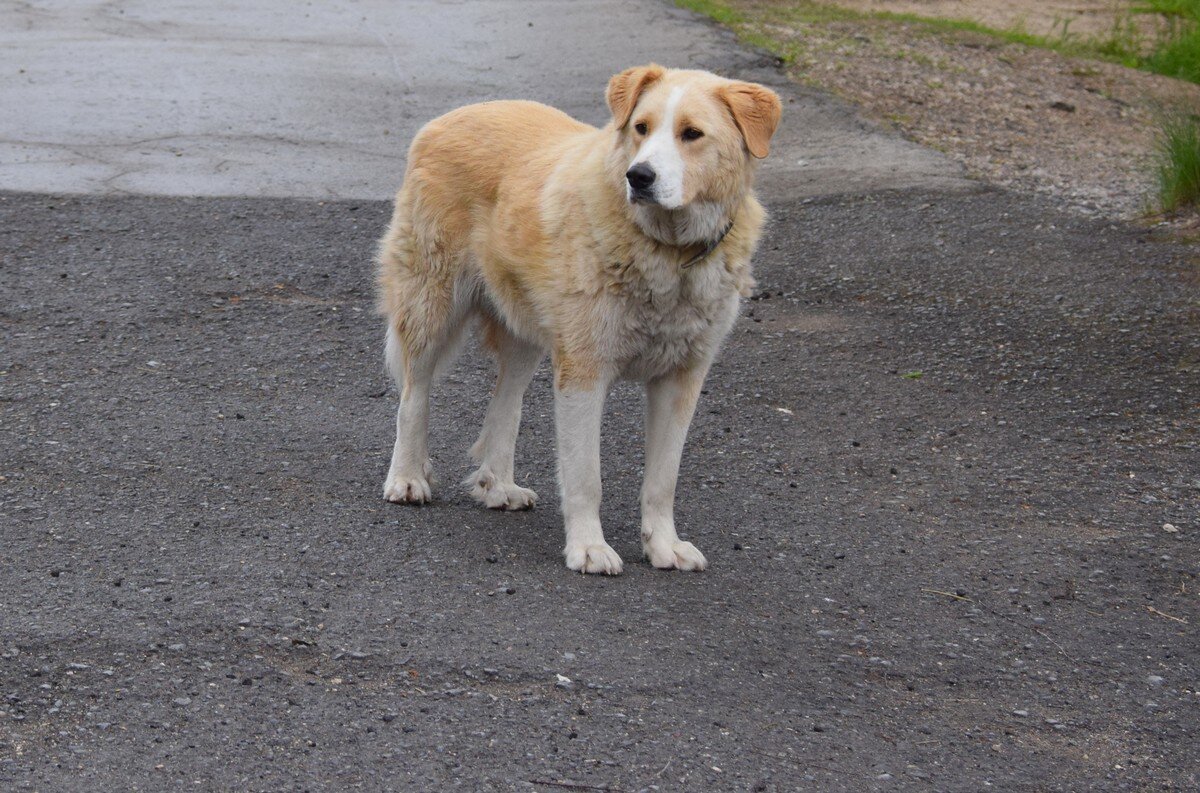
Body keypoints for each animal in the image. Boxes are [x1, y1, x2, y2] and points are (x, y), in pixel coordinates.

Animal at [376, 61, 787, 568]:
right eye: (641, 128)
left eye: (692, 134)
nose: (639, 176)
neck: (668, 252)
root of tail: (449, 117)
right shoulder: (585, 372)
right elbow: (586, 475)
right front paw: (589, 548)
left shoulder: (681, 380)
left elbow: (662, 481)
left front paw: (663, 546)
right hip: (431, 305)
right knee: (414, 395)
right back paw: (407, 478)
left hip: (526, 333)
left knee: (505, 403)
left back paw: (499, 486)